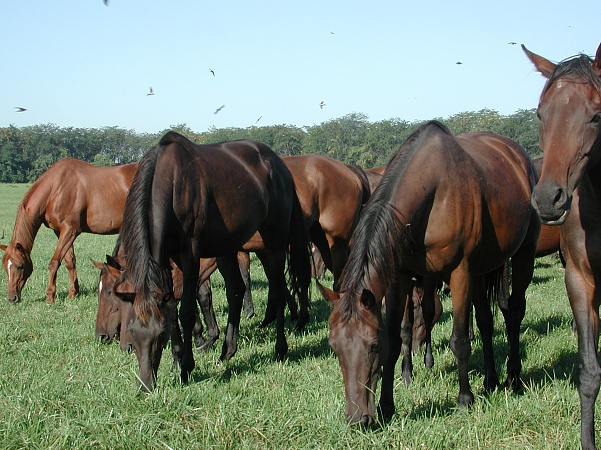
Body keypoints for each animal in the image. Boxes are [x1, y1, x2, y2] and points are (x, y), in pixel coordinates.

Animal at [0, 158, 137, 302]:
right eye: (5, 266)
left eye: (20, 266)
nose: (12, 298)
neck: (55, 188)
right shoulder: (60, 231)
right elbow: (70, 261)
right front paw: (72, 293)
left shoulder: (70, 230)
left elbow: (55, 262)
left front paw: (50, 296)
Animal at [110, 131, 312, 390]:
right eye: (134, 334)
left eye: (159, 336)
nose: (145, 385)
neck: (171, 182)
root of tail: (278, 164)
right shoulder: (165, 258)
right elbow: (171, 308)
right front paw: (177, 359)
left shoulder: (190, 255)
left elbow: (186, 311)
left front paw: (186, 367)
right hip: (228, 246)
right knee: (236, 291)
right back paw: (228, 350)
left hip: (274, 242)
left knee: (277, 291)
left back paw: (280, 349)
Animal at [318, 121, 540, 428]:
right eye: (334, 346)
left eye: (372, 345)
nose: (357, 419)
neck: (434, 189)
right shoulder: (401, 276)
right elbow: (397, 338)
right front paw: (387, 406)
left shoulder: (460, 273)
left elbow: (459, 340)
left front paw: (464, 399)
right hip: (481, 269)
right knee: (485, 321)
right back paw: (491, 380)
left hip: (521, 256)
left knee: (514, 310)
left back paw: (513, 378)